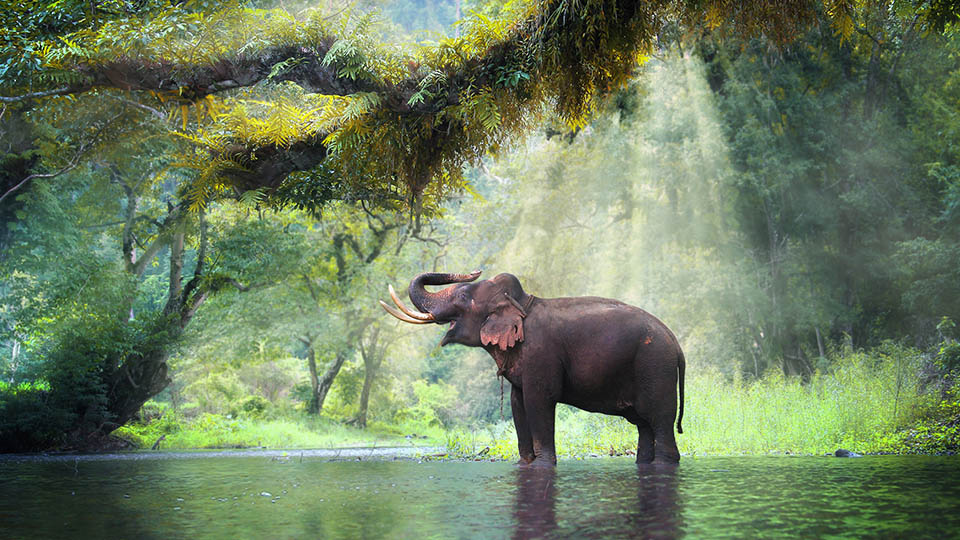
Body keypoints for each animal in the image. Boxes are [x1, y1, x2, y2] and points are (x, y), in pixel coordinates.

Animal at [381, 270, 685, 466]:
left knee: (659, 421)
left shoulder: (542, 354)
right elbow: (518, 404)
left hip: (655, 367)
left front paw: (543, 465)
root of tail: (676, 344)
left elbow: (540, 400)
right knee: (644, 425)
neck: (522, 303)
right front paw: (524, 464)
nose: (474, 270)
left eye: (465, 296)